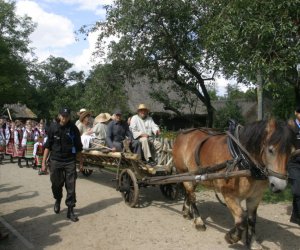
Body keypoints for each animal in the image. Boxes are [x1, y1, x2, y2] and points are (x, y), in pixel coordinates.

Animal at [172, 119, 294, 250]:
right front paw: (231, 237)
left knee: (189, 194)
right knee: (192, 196)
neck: (242, 159)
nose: (279, 186)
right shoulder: (229, 195)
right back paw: (199, 221)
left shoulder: (255, 197)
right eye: (270, 150)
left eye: (291, 152)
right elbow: (242, 219)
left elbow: (251, 220)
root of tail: (181, 134)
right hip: (184, 172)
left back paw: (186, 212)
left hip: (193, 176)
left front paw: (253, 243)